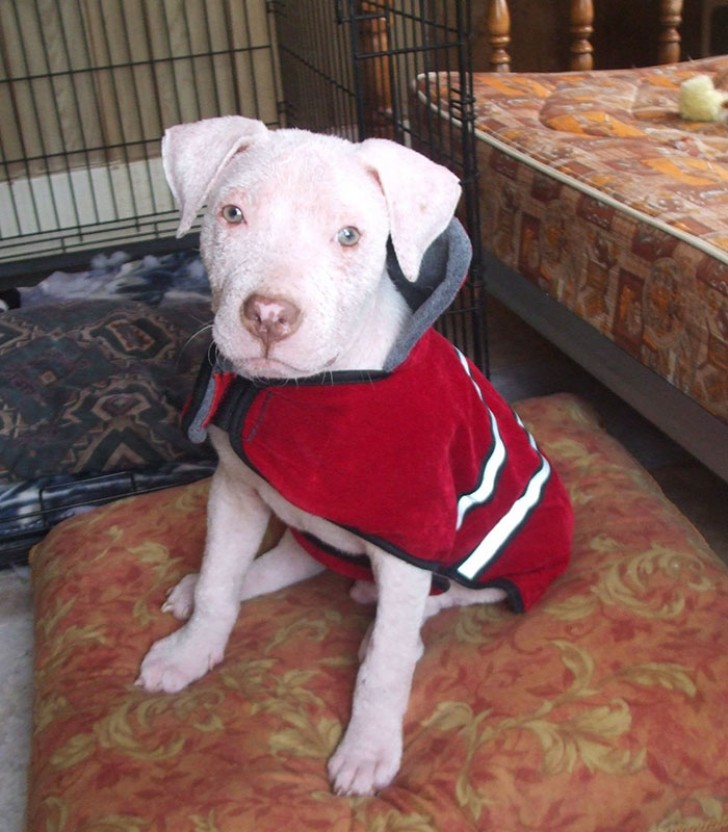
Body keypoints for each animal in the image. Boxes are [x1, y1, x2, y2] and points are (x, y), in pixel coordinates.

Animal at [134, 114, 572, 796]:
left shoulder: (409, 534)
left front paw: (367, 749)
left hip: (492, 559)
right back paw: (198, 585)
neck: (308, 391)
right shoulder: (234, 490)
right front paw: (190, 649)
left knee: (450, 600)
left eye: (349, 236)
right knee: (287, 557)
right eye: (232, 214)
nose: (269, 315)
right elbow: (220, 583)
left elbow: (387, 666)